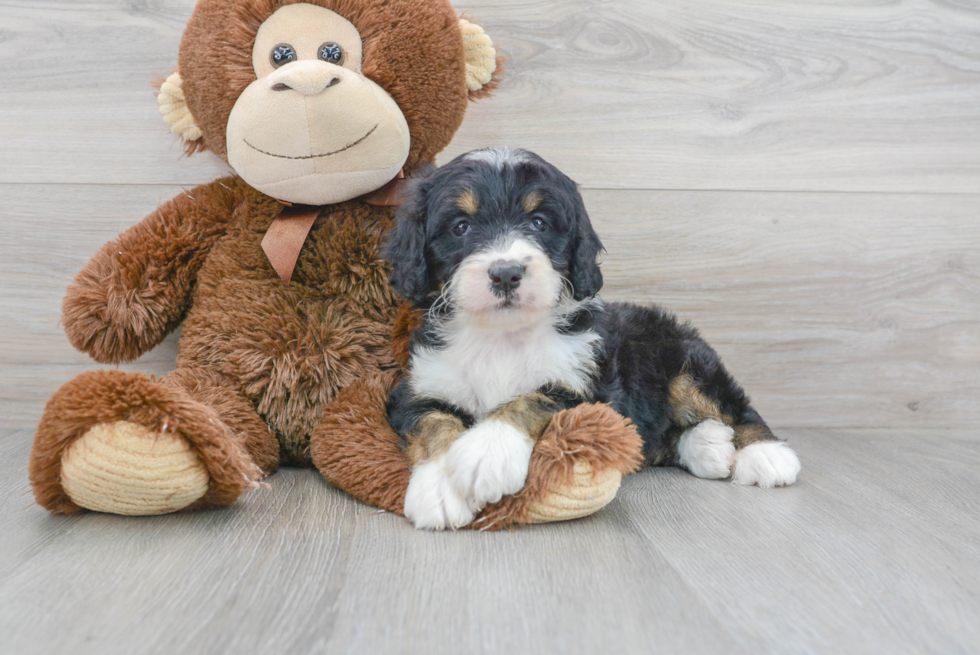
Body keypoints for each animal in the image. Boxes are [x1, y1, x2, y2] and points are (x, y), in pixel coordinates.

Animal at [382, 146, 796, 532]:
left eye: (539, 222)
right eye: (461, 227)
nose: (506, 273)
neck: (503, 335)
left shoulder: (589, 390)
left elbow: (534, 398)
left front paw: (488, 451)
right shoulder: (418, 387)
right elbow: (432, 422)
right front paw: (439, 488)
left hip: (686, 361)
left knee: (733, 407)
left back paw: (765, 454)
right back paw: (708, 445)